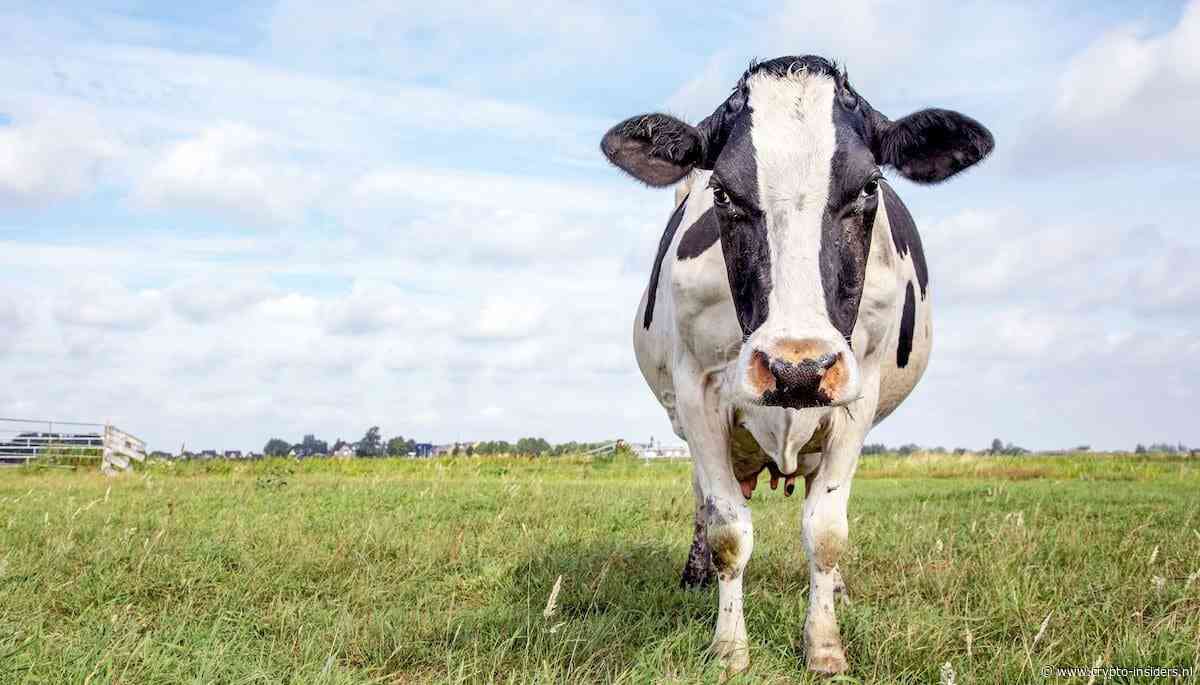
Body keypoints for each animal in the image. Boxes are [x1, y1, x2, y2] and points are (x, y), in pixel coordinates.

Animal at [600, 55, 993, 675]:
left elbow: (826, 531)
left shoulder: (858, 392)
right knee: (703, 497)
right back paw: (695, 575)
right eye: (723, 193)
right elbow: (728, 529)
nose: (796, 369)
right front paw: (729, 649)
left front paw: (825, 646)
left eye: (869, 185)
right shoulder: (697, 390)